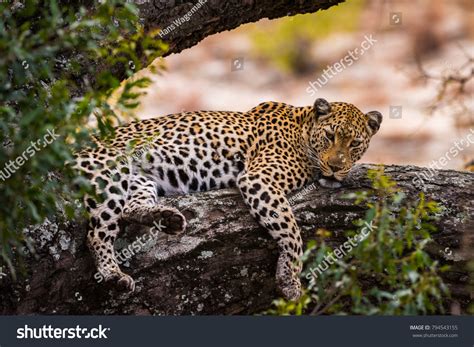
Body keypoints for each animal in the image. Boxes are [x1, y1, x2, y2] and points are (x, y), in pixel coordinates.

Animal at [75, 98, 386, 302]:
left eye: (355, 144)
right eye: (330, 136)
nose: (335, 166)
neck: (304, 131)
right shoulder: (259, 179)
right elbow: (291, 231)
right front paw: (289, 279)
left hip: (141, 178)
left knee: (130, 208)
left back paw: (167, 219)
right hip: (110, 173)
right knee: (96, 232)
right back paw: (112, 273)